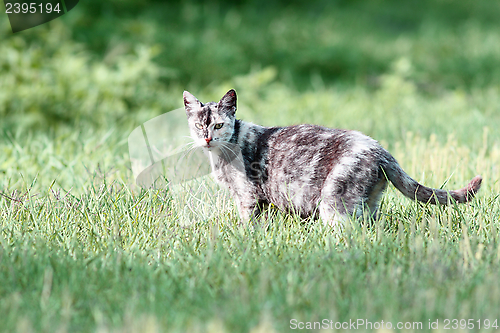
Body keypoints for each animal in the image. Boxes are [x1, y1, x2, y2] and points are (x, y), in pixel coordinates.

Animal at [183, 89, 480, 227]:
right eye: (199, 126)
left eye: (219, 125)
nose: (207, 138)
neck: (221, 156)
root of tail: (382, 151)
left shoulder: (247, 197)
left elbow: (248, 225)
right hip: (368, 204)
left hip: (334, 203)